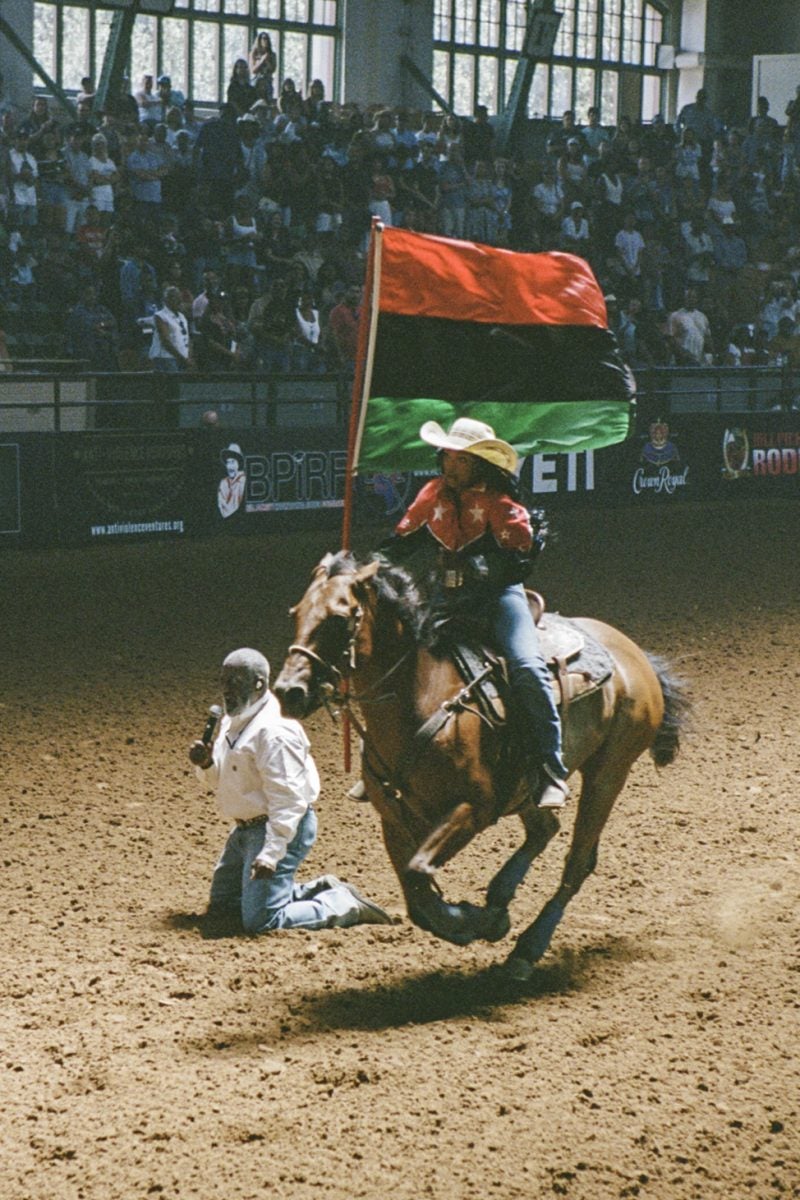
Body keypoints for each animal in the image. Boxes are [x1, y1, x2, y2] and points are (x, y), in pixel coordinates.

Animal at [275, 549, 690, 979]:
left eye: (340, 618)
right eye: (296, 612)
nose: (289, 691)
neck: (423, 699)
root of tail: (634, 654)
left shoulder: (474, 808)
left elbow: (418, 872)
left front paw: (474, 922)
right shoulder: (392, 818)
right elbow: (415, 893)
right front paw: (481, 919)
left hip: (608, 773)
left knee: (577, 863)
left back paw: (527, 948)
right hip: (527, 788)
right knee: (545, 829)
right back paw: (500, 896)